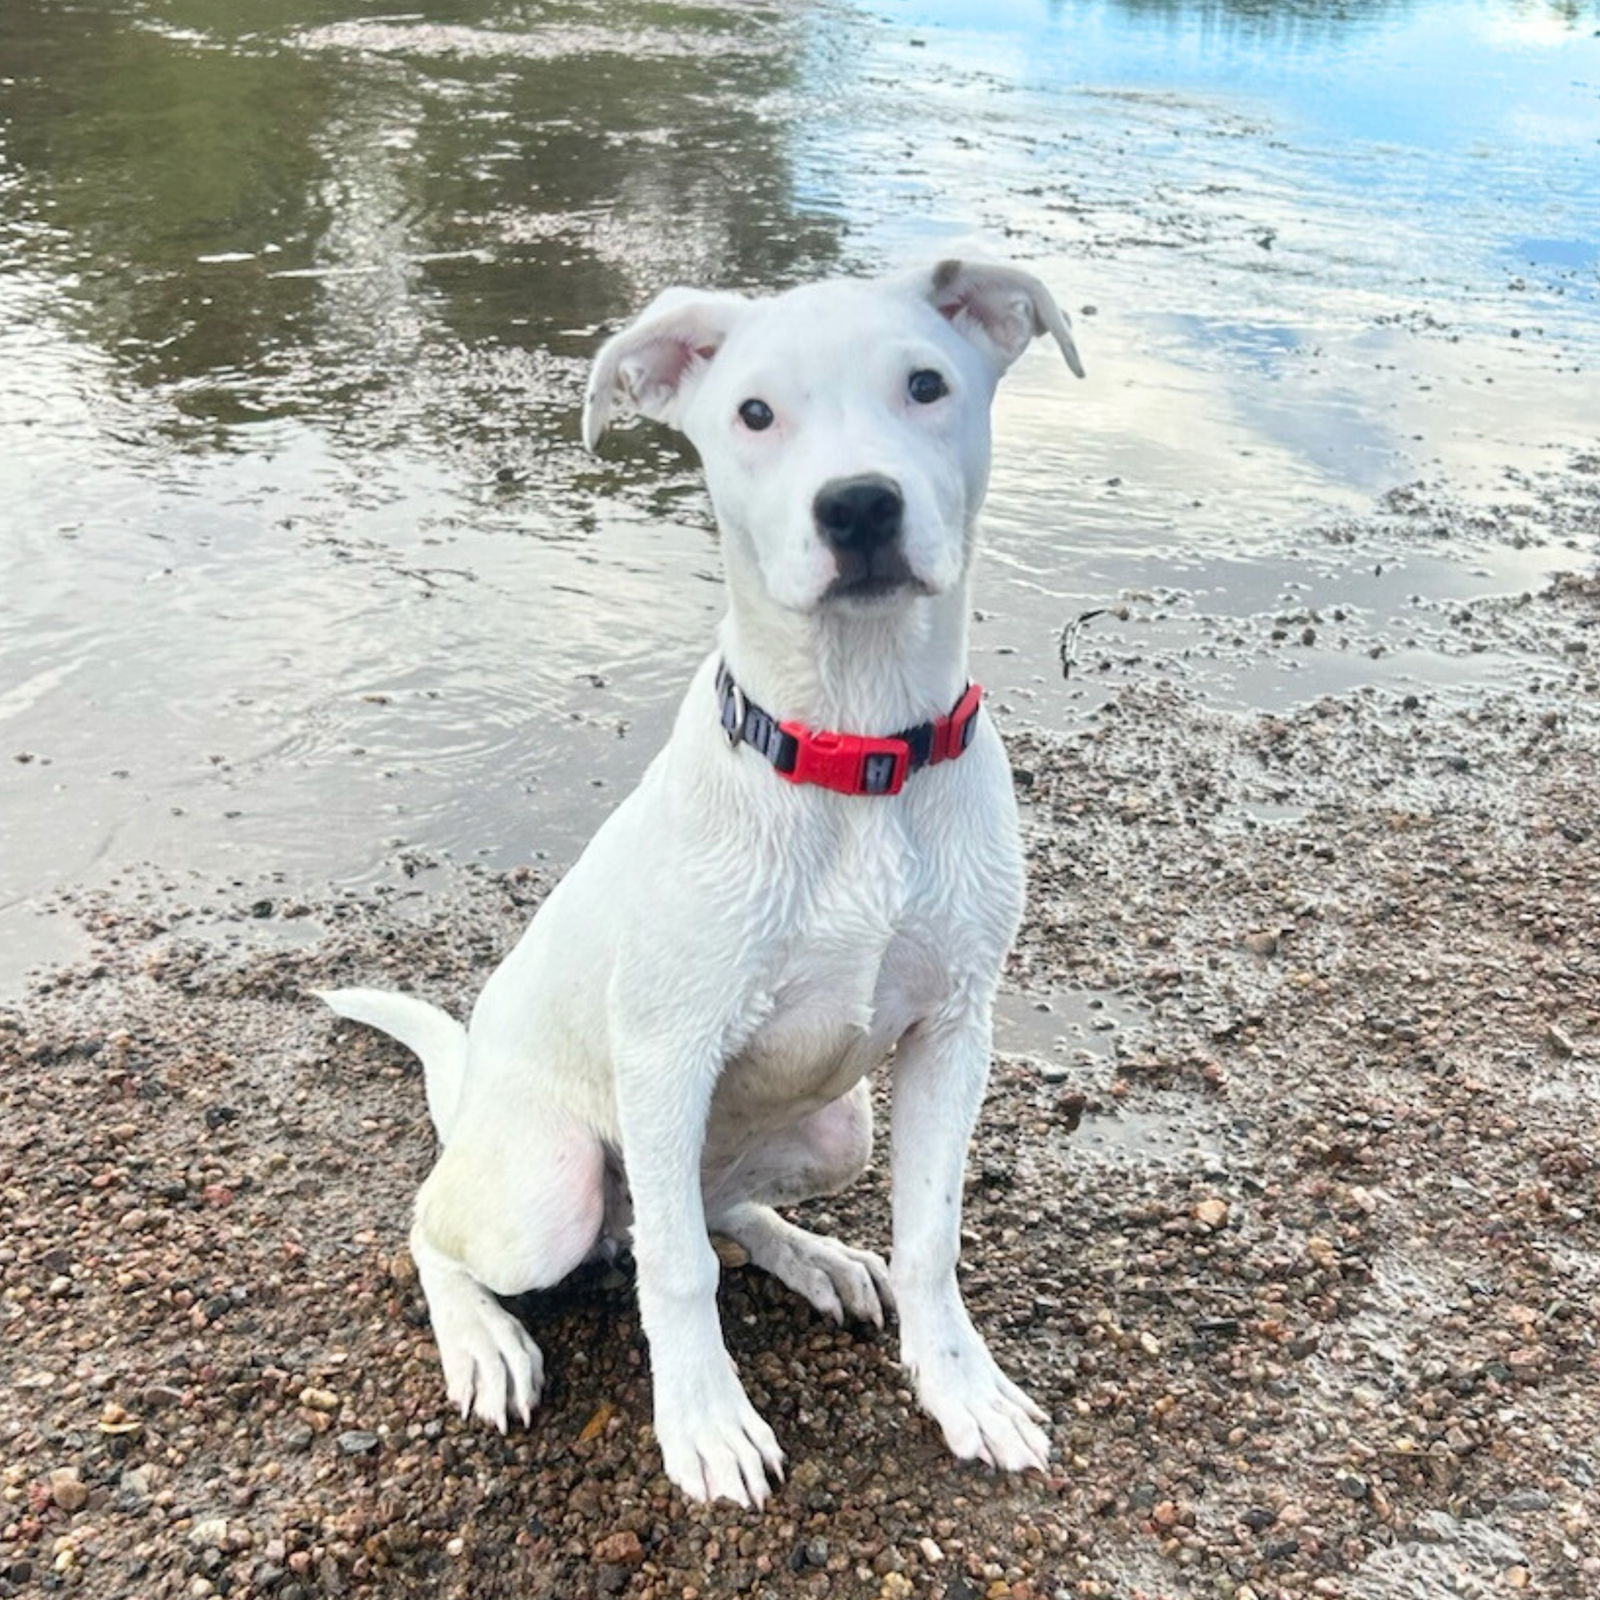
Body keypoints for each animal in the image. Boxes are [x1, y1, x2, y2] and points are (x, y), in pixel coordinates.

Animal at [318, 259, 1081, 1497]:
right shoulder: (667, 1053)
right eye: (753, 414)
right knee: (452, 1229)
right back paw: (483, 1339)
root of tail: (470, 1094)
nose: (857, 506)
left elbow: (930, 1237)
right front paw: (706, 1423)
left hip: (835, 1127)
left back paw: (814, 1256)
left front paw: (962, 1389)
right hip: (550, 1183)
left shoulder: (955, 1028)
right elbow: (681, 1276)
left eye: (926, 383)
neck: (855, 748)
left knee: (716, 1206)